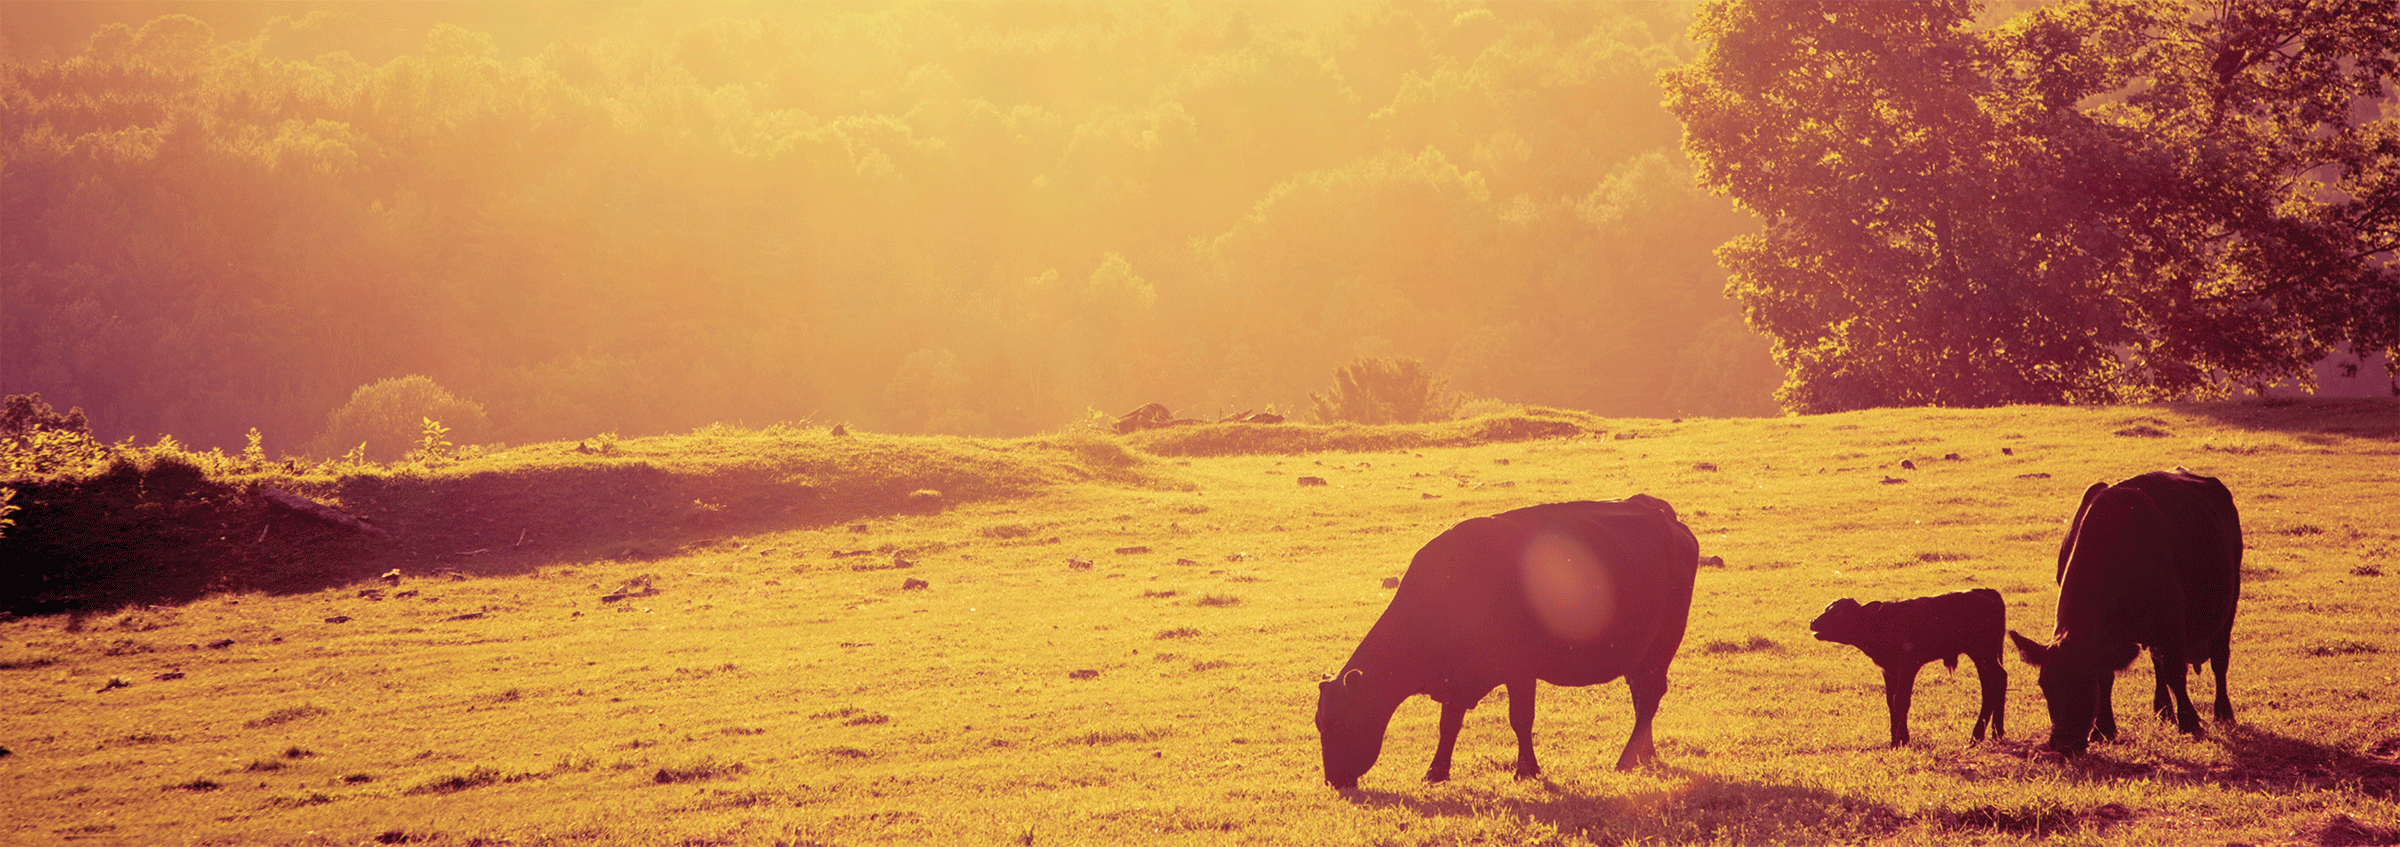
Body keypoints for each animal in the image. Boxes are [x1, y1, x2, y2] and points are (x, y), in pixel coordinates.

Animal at [1313, 496, 1700, 790]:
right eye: (1320, 722)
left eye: (1335, 722)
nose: (1334, 781)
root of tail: (1661, 513)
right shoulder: (1457, 679)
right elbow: (1448, 724)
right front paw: (1436, 772)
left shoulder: (1520, 670)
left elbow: (1520, 719)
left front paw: (1526, 770)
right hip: (1641, 655)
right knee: (1642, 697)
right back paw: (1645, 754)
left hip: (1662, 645)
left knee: (1649, 696)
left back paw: (1627, 759)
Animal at [1809, 588, 2007, 747]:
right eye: (1827, 608)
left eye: (1840, 613)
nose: (1813, 622)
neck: (1881, 624)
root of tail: (1986, 593)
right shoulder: (1888, 670)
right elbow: (1891, 701)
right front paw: (1894, 740)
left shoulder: (1908, 666)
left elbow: (1901, 700)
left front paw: (1901, 740)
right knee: (1999, 679)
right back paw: (1997, 732)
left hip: (1982, 653)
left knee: (1992, 684)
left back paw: (1977, 736)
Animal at [2009, 469, 2241, 755]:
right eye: (2045, 684)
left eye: (2086, 683)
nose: (2064, 744)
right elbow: (2110, 674)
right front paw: (2103, 729)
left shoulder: (2172, 622)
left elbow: (2175, 672)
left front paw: (2190, 722)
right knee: (2157, 661)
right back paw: (2163, 710)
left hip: (2229, 603)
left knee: (2219, 659)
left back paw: (2223, 712)